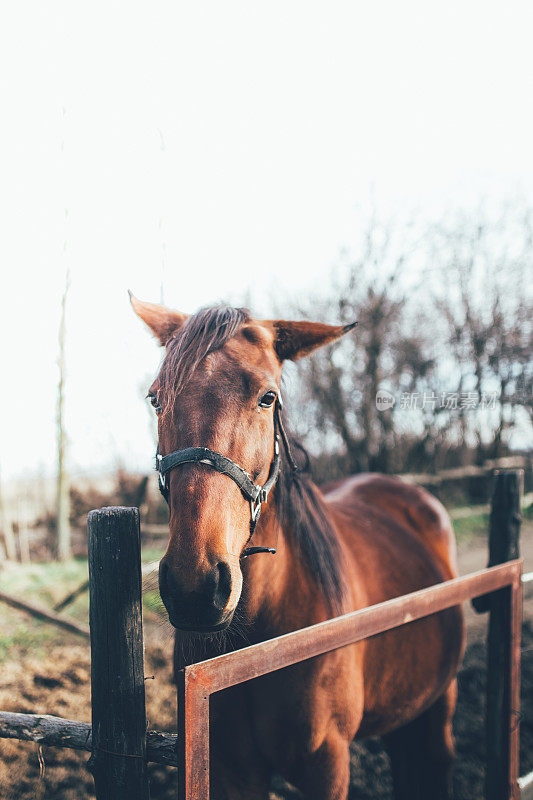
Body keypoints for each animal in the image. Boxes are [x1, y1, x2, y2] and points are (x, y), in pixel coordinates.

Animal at [131, 296, 464, 800]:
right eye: (156, 399)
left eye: (267, 397)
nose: (195, 586)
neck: (259, 644)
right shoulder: (230, 771)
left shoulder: (326, 764)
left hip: (439, 704)